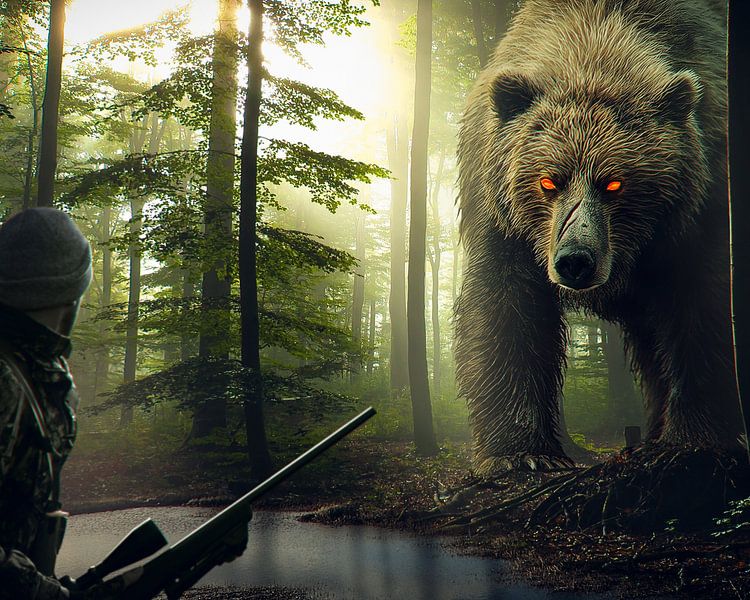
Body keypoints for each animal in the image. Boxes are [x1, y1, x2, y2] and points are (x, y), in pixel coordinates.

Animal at [455, 0, 742, 475]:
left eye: (614, 183)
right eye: (548, 181)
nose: (575, 259)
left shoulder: (702, 205)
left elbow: (703, 309)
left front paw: (695, 442)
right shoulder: (502, 216)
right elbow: (506, 312)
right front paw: (520, 454)